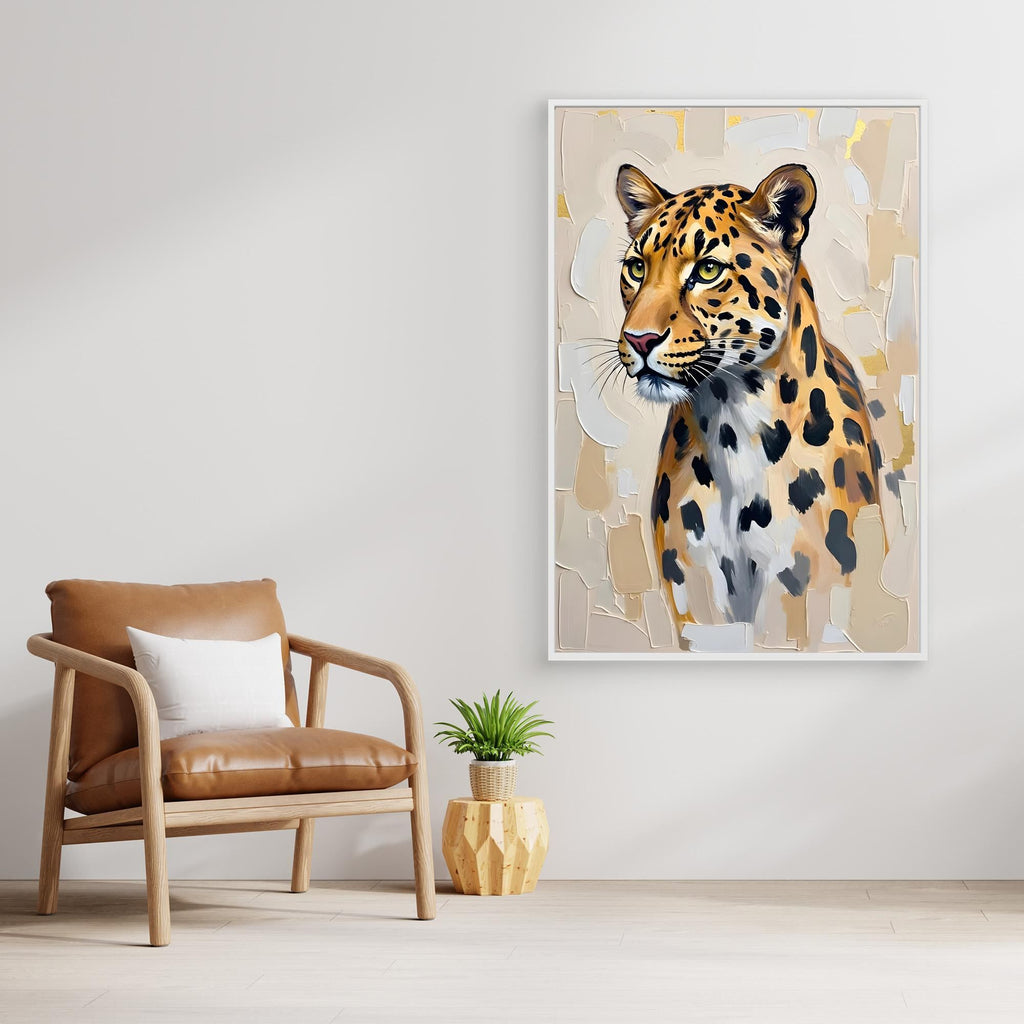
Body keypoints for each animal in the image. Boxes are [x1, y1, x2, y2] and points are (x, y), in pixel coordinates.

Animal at [613, 162, 882, 650]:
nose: (639, 339)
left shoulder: (803, 592)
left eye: (707, 269)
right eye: (637, 268)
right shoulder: (695, 593)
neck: (730, 424)